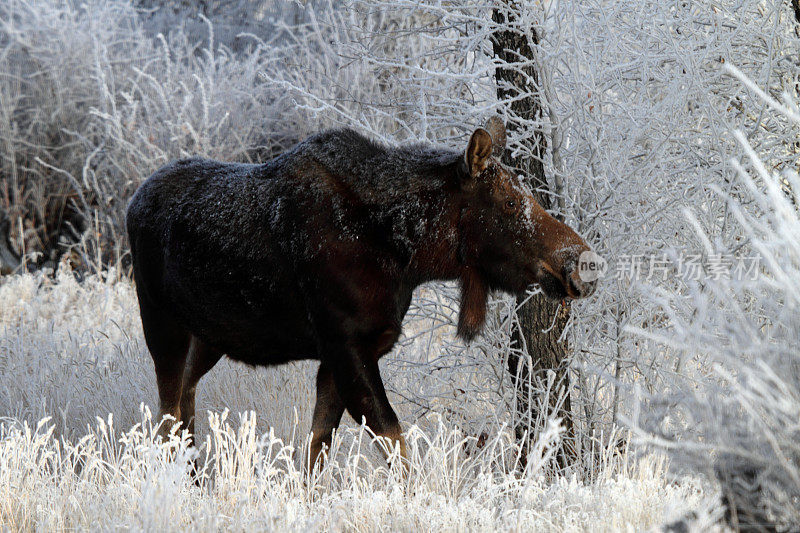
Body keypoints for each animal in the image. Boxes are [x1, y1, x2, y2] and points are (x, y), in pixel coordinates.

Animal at [126, 118, 592, 468]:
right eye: (511, 203)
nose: (584, 262)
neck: (408, 256)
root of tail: (133, 201)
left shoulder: (345, 352)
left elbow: (318, 448)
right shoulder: (346, 343)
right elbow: (392, 437)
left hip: (208, 337)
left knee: (184, 405)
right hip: (161, 324)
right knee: (167, 413)